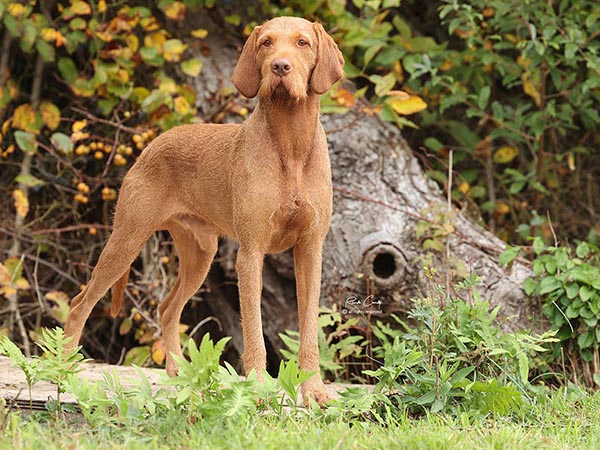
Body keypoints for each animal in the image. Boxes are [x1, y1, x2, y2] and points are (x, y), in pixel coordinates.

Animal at [63, 16, 344, 404]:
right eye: (266, 43)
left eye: (303, 43)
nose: (280, 67)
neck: (289, 144)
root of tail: (153, 143)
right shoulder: (251, 253)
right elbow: (253, 330)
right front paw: (257, 388)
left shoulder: (311, 250)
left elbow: (309, 331)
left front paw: (314, 390)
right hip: (126, 240)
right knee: (80, 303)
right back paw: (62, 368)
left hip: (200, 253)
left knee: (167, 308)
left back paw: (180, 372)